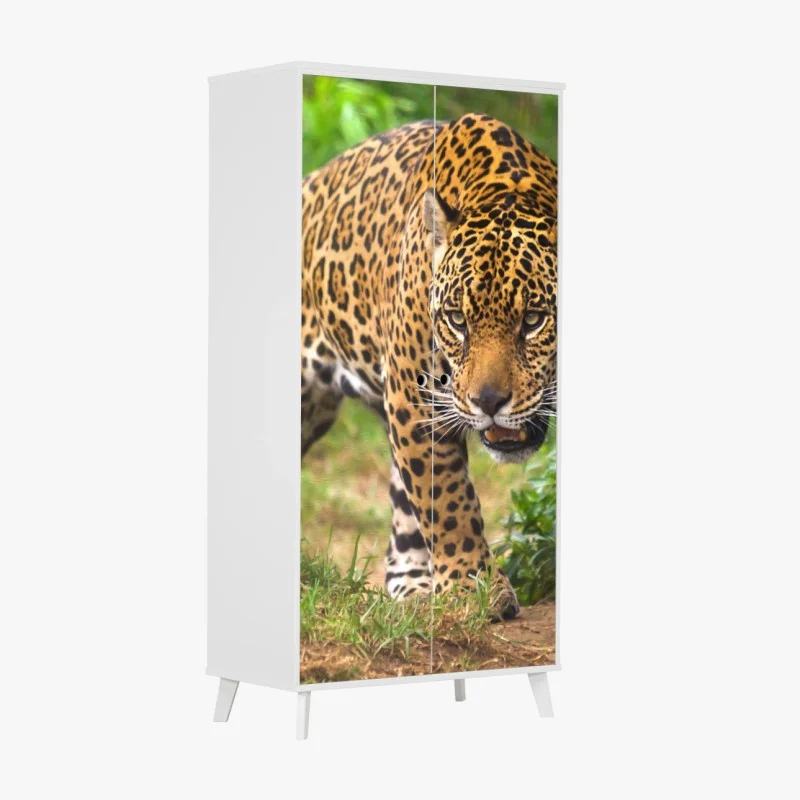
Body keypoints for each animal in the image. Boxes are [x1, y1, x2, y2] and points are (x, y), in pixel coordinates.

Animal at [301, 113, 557, 620]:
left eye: (533, 319)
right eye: (457, 320)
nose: (489, 402)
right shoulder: (413, 395)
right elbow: (448, 499)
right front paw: (473, 586)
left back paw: (414, 586)